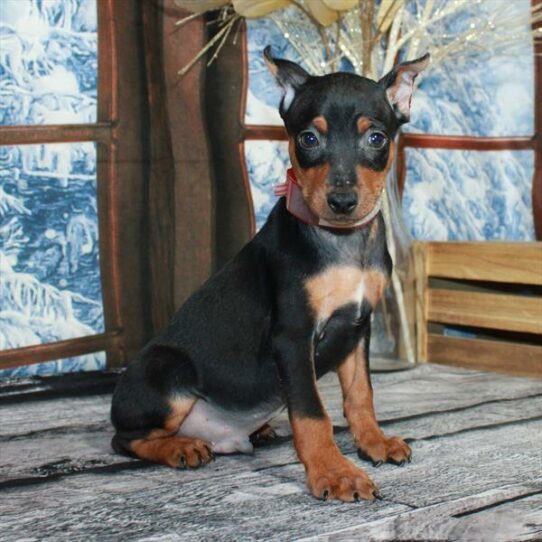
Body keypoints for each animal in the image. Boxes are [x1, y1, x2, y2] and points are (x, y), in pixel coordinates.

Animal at [111, 47, 430, 506]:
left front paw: (373, 443)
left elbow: (360, 394)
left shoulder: (357, 327)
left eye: (377, 138)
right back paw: (180, 447)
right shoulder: (293, 335)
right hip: (168, 372)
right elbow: (311, 411)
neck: (341, 243)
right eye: (308, 139)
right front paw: (334, 472)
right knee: (125, 438)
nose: (342, 201)